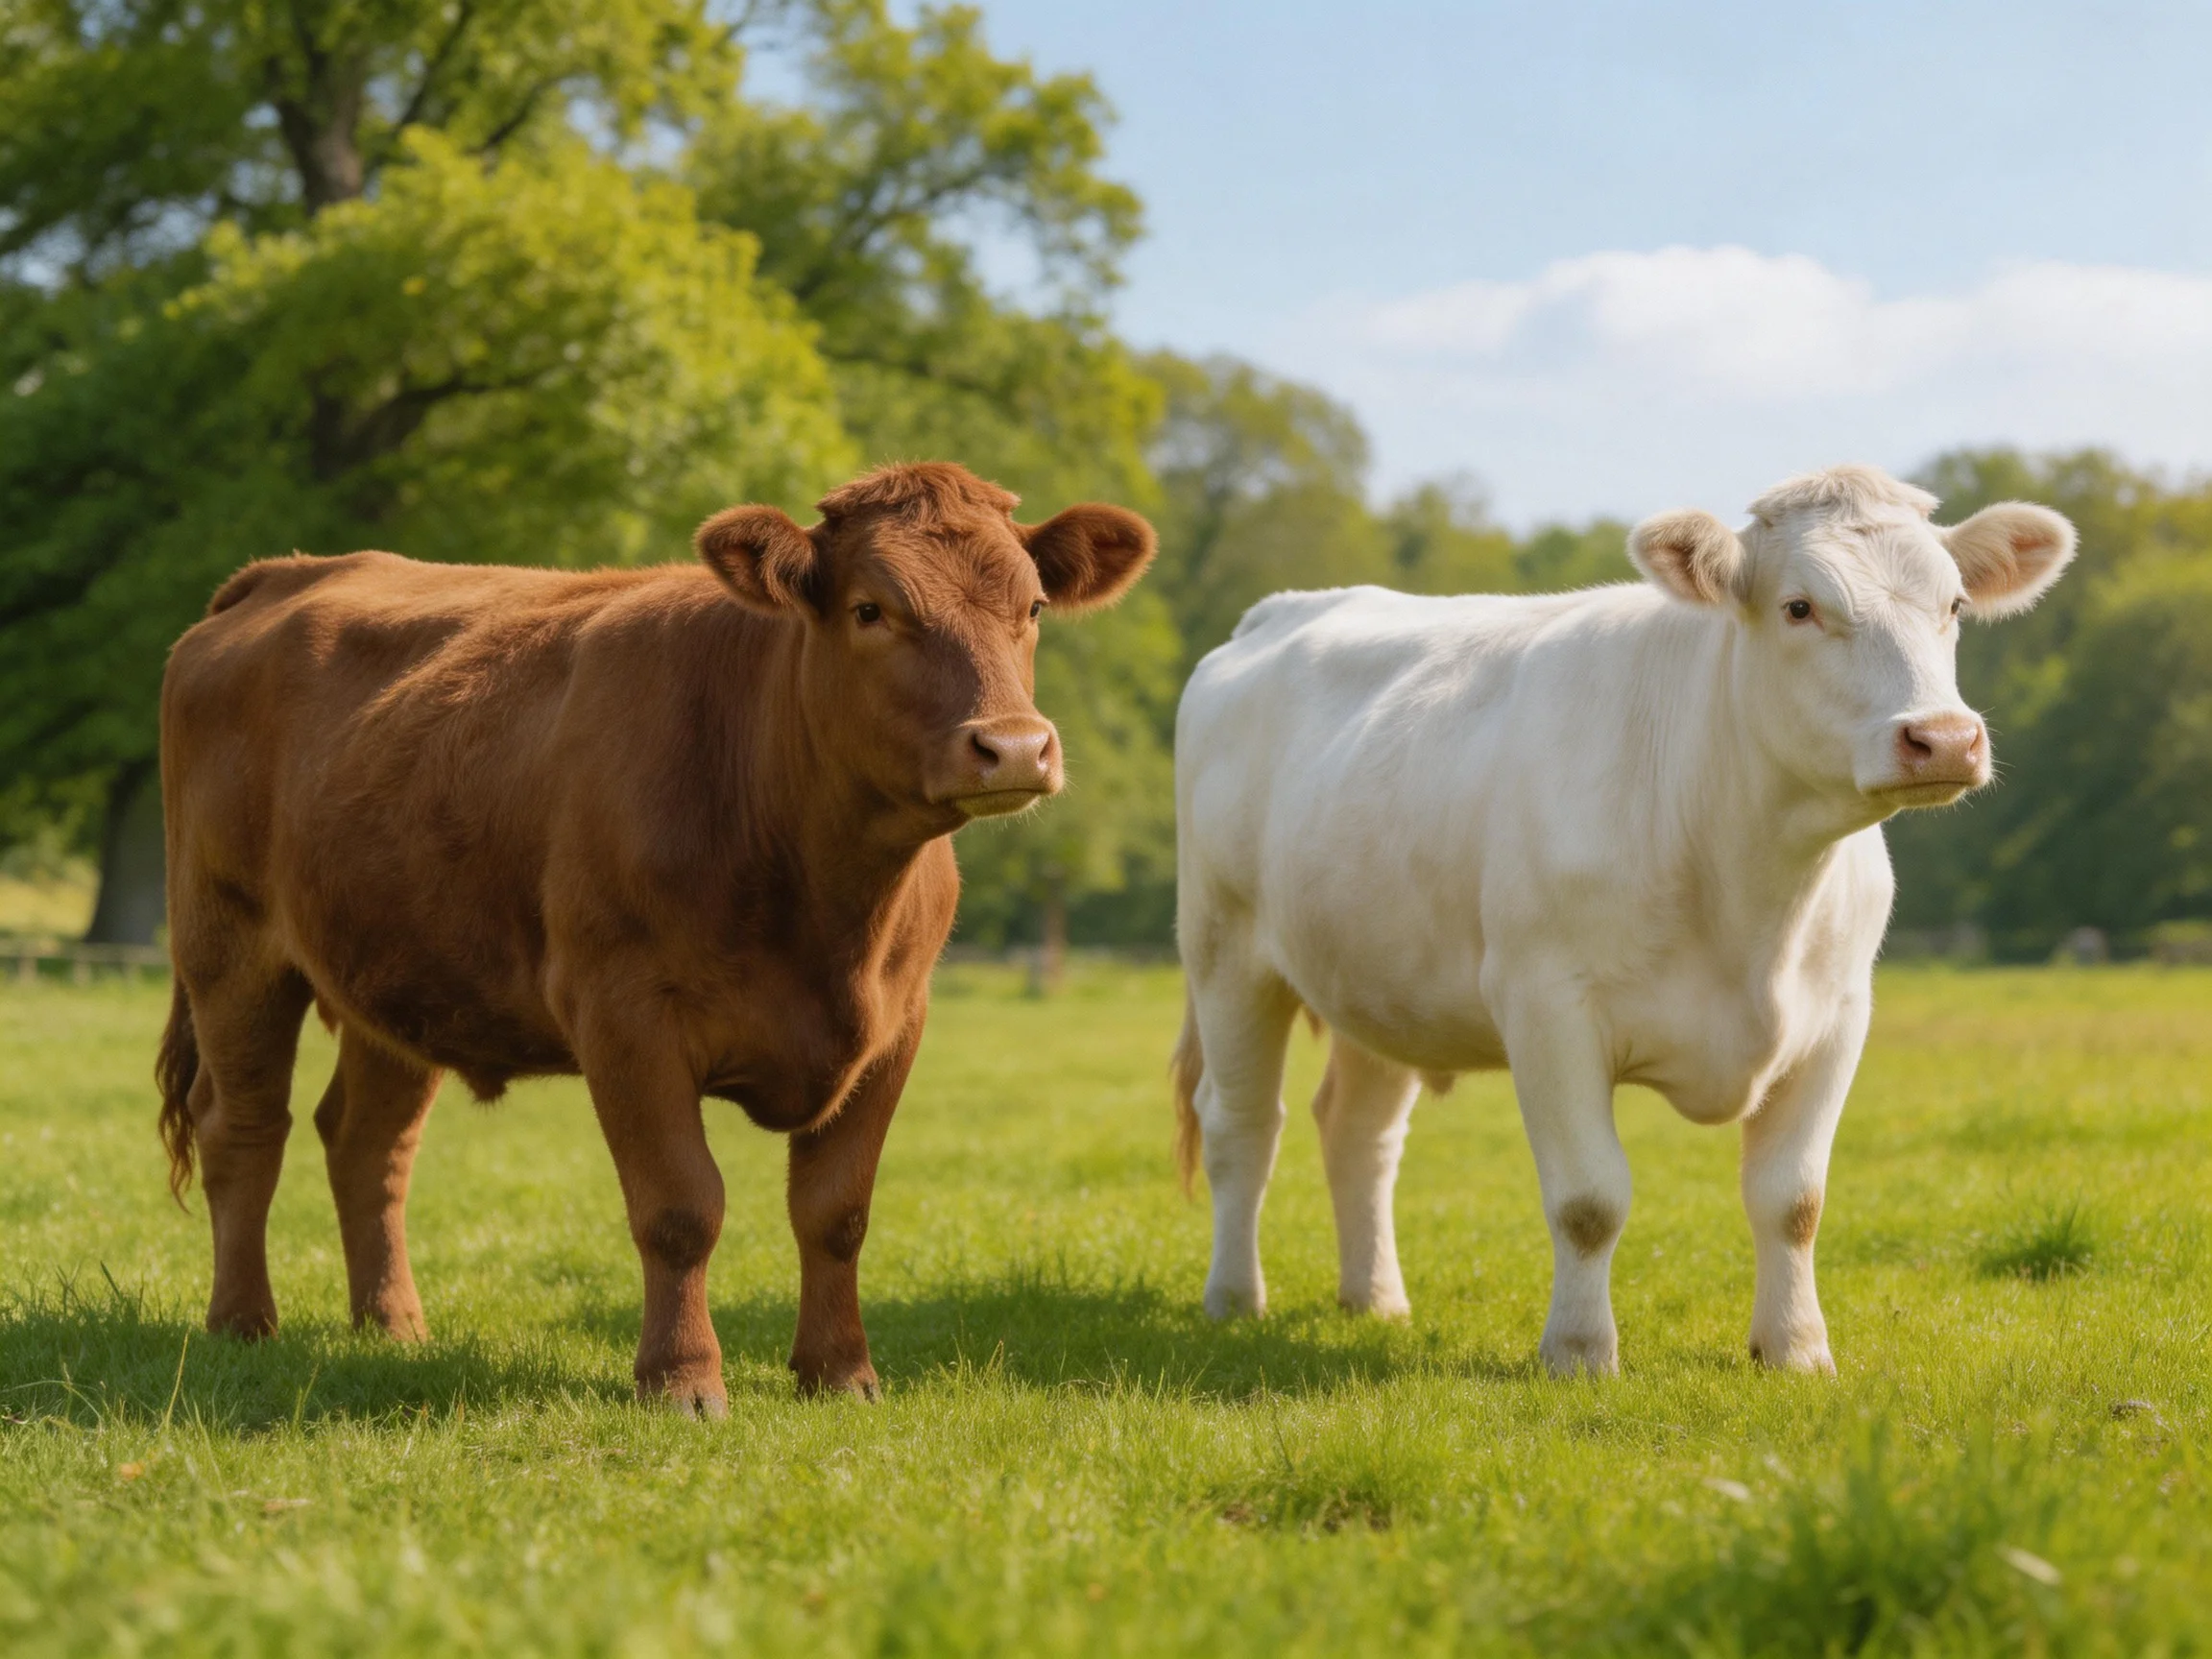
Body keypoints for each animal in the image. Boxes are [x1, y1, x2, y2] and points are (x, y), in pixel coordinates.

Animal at [155, 462, 1154, 1413]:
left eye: (1032, 607)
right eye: (872, 608)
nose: (1015, 747)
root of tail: (287, 572)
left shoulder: (895, 1024)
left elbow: (836, 1211)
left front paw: (840, 1373)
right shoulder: (624, 1013)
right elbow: (681, 1206)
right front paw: (681, 1380)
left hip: (397, 972)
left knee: (366, 1142)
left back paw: (394, 1325)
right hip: (229, 948)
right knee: (243, 1126)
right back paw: (243, 1322)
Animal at [1170, 465, 2074, 1375]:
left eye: (1954, 604)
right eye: (1799, 607)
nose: (1944, 738)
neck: (1749, 895)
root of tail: (1281, 608)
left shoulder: (1838, 1016)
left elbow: (1793, 1199)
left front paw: (1795, 1348)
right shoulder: (1546, 1007)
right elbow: (1589, 1199)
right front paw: (1579, 1352)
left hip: (1379, 978)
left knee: (1359, 1132)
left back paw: (1375, 1299)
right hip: (1226, 949)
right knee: (1242, 1125)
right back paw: (1235, 1299)